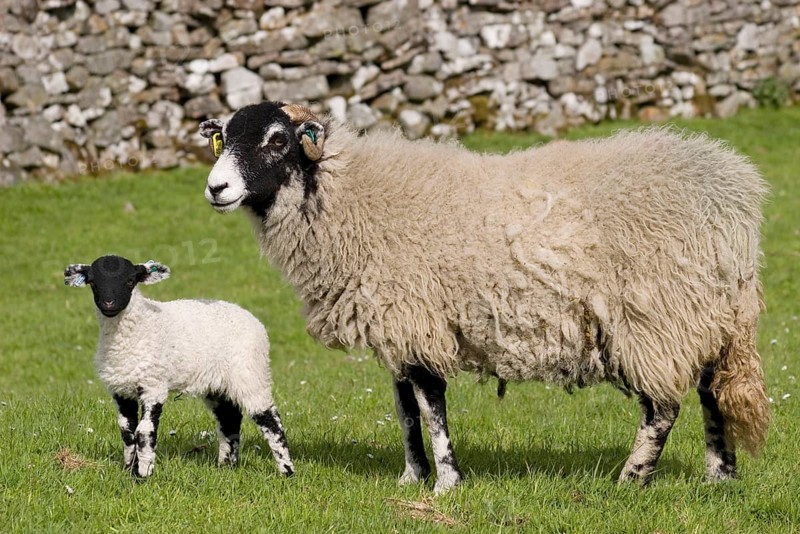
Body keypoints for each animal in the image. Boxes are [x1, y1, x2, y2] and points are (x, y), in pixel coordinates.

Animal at [64, 255, 294, 478]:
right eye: (93, 282)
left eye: (130, 281)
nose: (109, 303)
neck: (139, 327)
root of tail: (250, 317)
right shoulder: (120, 388)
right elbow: (127, 431)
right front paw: (129, 469)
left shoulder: (153, 384)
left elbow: (144, 431)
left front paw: (143, 474)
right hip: (218, 383)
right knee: (229, 417)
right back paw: (227, 467)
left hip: (250, 371)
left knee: (270, 419)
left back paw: (286, 470)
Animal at [199, 101, 769, 493]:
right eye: (222, 139)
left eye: (277, 140)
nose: (215, 189)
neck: (348, 198)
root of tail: (733, 195)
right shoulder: (398, 322)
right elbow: (405, 409)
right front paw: (411, 476)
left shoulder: (419, 317)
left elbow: (430, 405)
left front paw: (446, 483)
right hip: (704, 310)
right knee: (711, 390)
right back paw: (720, 476)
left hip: (655, 315)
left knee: (663, 407)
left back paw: (631, 479)